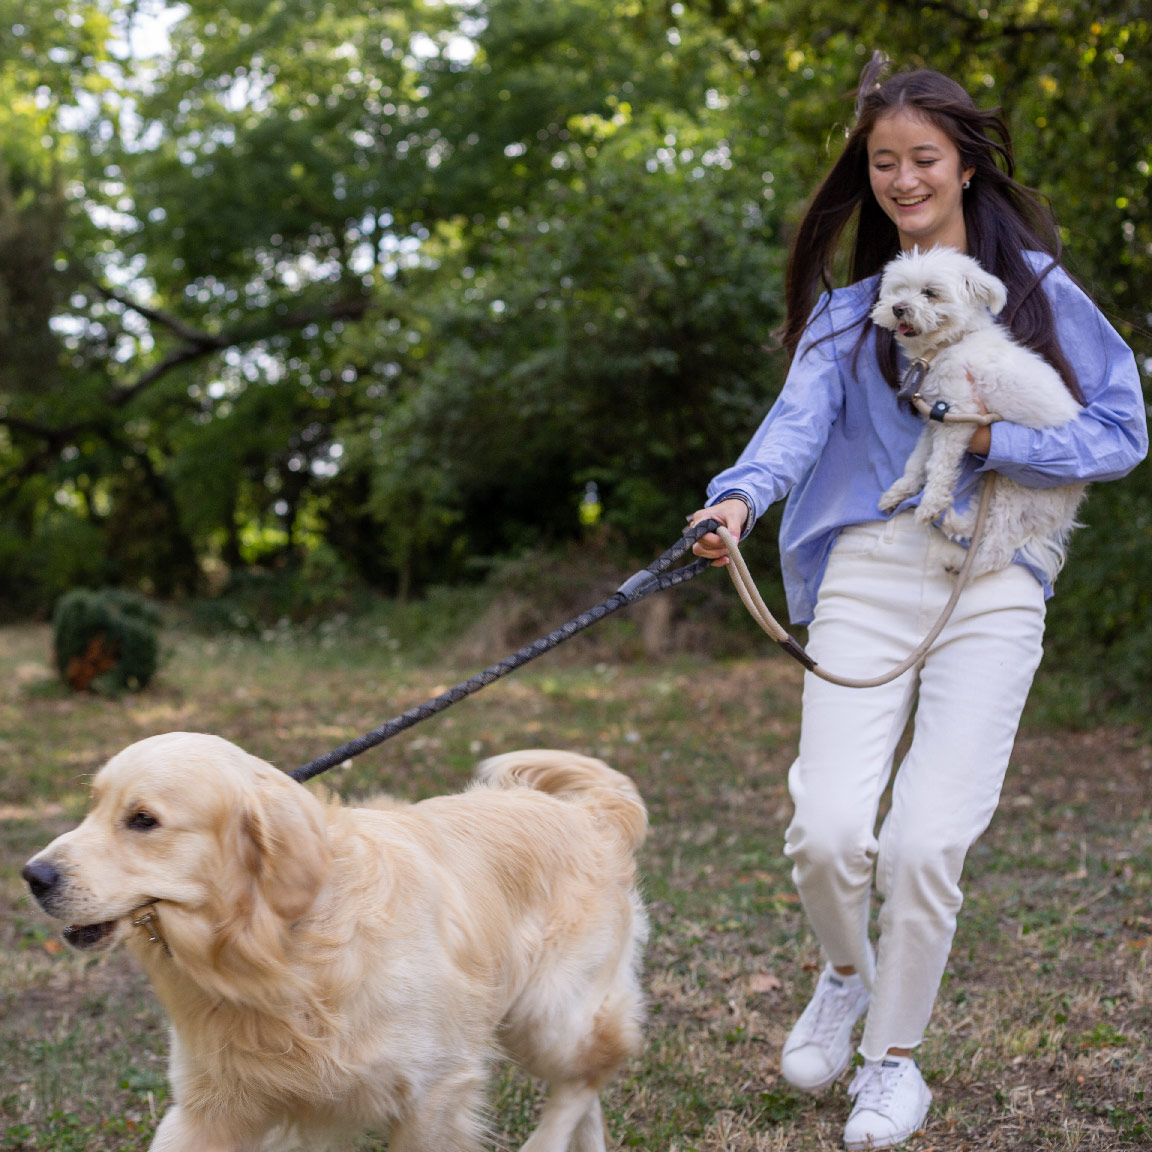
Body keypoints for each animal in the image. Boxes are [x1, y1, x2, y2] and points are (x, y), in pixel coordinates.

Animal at [870, 247, 1087, 580]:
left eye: (930, 293)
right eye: (899, 290)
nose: (898, 308)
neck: (948, 344)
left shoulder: (958, 415)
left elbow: (938, 466)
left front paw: (930, 503)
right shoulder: (934, 419)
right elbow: (917, 461)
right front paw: (900, 491)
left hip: (1016, 489)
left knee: (997, 548)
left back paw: (960, 564)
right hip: (996, 486)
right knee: (980, 522)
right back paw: (954, 524)